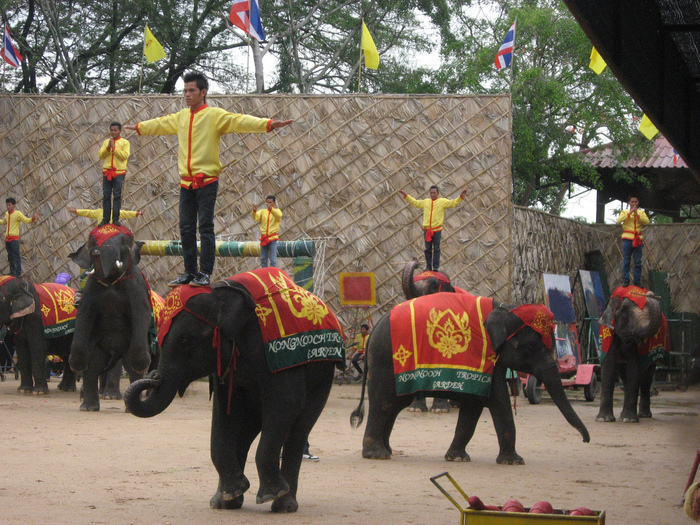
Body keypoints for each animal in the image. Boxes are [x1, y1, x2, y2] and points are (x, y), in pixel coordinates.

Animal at [68, 223, 160, 412]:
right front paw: (77, 364)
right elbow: (84, 316)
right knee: (93, 366)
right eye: (92, 240)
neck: (111, 281)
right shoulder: (90, 290)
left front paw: (143, 364)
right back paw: (88, 407)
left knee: (130, 366)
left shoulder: (137, 287)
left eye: (123, 241)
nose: (96, 252)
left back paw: (130, 406)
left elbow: (141, 313)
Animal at [124, 268, 346, 512]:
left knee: (298, 431)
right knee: (247, 431)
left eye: (185, 341)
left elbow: (286, 403)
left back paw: (283, 505)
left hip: (324, 372)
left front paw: (268, 495)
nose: (153, 376)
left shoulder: (278, 355)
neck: (220, 291)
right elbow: (225, 413)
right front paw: (230, 496)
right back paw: (227, 500)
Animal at [350, 292, 592, 464]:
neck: (506, 307)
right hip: (387, 360)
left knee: (395, 404)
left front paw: (457, 458)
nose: (585, 440)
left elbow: (474, 404)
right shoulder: (481, 352)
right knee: (385, 402)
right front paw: (514, 462)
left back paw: (387, 450)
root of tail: (375, 328)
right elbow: (497, 400)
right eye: (532, 347)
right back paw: (377, 454)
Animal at [592, 286, 664, 422]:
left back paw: (644, 415)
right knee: (625, 376)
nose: (650, 294)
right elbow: (609, 367)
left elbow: (634, 369)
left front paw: (628, 420)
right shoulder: (608, 337)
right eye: (624, 311)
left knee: (646, 378)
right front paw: (604, 419)